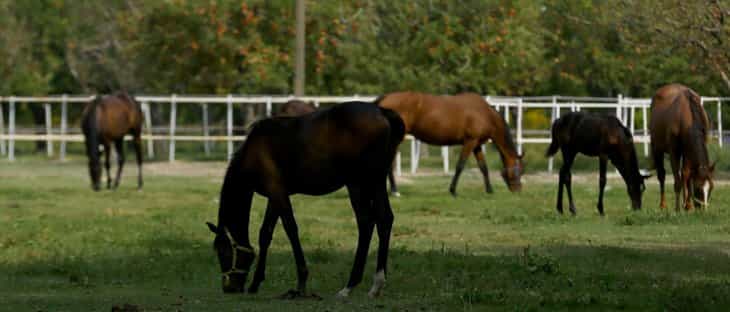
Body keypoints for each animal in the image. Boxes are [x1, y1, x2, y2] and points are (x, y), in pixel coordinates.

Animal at [203, 101, 404, 298]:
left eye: (222, 252)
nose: (229, 287)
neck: (254, 151)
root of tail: (382, 112)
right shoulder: (275, 195)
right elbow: (265, 234)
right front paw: (255, 283)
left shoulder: (277, 193)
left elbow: (291, 229)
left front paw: (301, 282)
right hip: (375, 182)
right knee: (383, 219)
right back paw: (375, 284)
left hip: (358, 183)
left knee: (366, 222)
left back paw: (350, 285)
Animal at [376, 91, 524, 196]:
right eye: (519, 171)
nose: (518, 190)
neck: (485, 113)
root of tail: (385, 99)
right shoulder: (470, 142)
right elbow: (460, 165)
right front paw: (453, 191)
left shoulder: (477, 145)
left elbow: (483, 167)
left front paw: (489, 190)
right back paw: (395, 191)